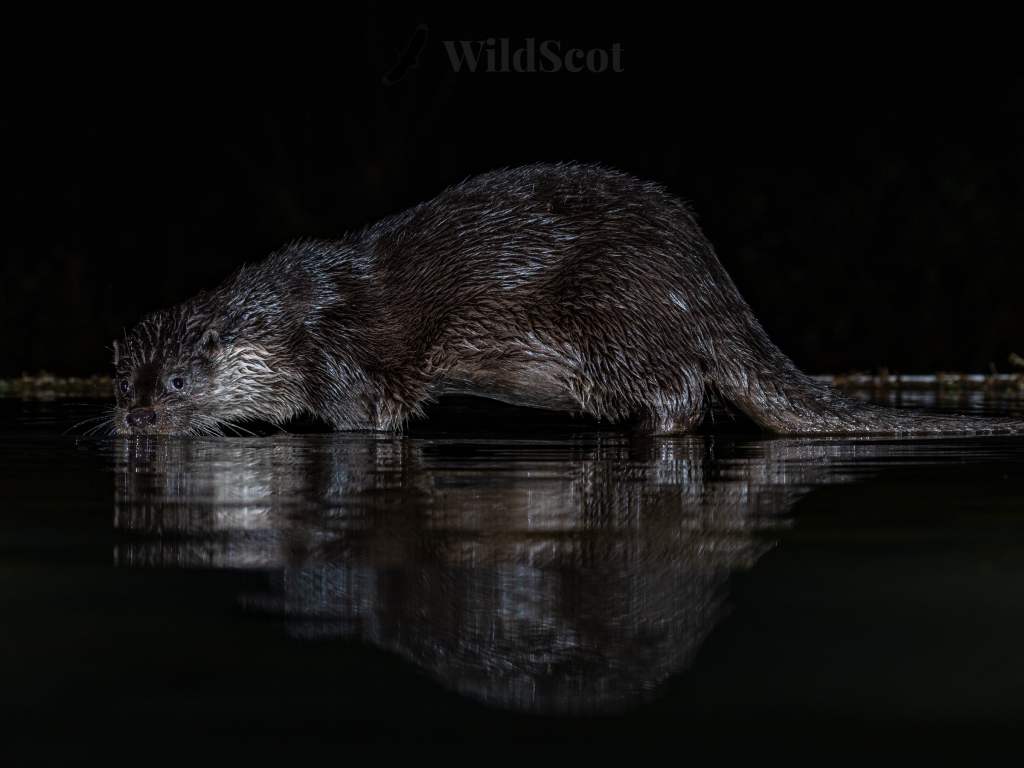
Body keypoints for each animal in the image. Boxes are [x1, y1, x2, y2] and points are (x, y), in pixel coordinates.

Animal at [111, 163, 1023, 437]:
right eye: (125, 384)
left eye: (182, 382)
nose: (139, 419)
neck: (296, 313)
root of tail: (706, 282)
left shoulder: (344, 360)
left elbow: (367, 420)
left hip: (612, 316)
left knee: (682, 393)